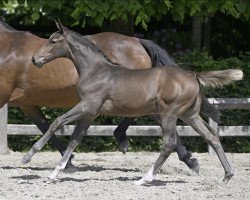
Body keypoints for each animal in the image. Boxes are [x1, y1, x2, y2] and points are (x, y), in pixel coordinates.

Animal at [0, 20, 205, 170]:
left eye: (53, 41)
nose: (35, 59)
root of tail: (138, 41)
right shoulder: (26, 103)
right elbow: (45, 125)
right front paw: (69, 161)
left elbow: (53, 124)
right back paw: (189, 160)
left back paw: (123, 139)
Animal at [23, 21, 242, 184]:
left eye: (53, 41)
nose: (35, 59)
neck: (96, 71)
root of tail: (193, 75)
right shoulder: (91, 113)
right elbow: (75, 139)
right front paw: (55, 173)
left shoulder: (87, 106)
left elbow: (57, 122)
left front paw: (28, 155)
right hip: (190, 115)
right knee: (211, 136)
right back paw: (227, 175)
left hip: (169, 114)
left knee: (169, 143)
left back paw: (145, 178)